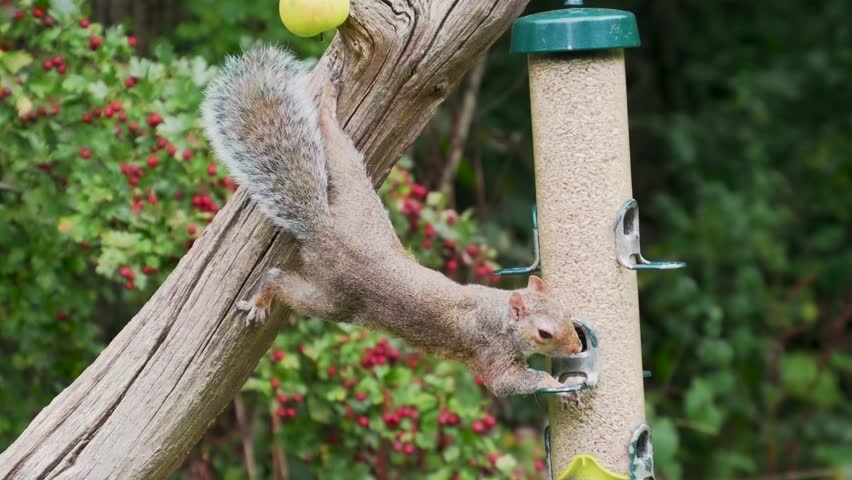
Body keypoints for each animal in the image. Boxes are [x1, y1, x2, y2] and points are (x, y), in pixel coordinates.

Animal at [201, 45, 582, 400]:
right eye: (544, 333)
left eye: (567, 312)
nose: (578, 347)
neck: (500, 315)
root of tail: (328, 232)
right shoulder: (490, 352)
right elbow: (507, 383)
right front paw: (558, 384)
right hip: (332, 298)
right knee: (280, 280)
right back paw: (262, 299)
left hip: (360, 202)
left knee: (337, 148)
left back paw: (329, 103)